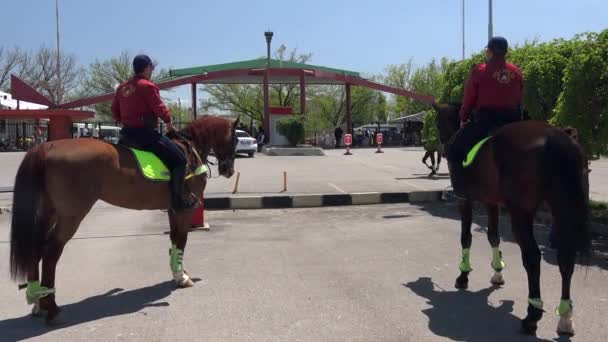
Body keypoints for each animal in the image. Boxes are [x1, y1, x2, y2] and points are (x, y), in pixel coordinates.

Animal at [10, 114, 240, 324]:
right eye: (235, 139)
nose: (228, 170)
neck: (189, 147)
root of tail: (46, 148)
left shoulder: (172, 210)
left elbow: (174, 240)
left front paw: (178, 272)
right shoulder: (183, 211)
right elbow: (181, 240)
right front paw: (181, 277)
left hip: (48, 212)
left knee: (36, 248)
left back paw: (37, 300)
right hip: (71, 216)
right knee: (51, 252)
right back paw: (51, 307)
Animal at [434, 103, 592, 336]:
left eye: (438, 123)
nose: (442, 148)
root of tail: (555, 138)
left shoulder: (465, 199)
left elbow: (466, 237)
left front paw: (463, 275)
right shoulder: (491, 201)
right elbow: (493, 235)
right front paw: (497, 271)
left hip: (521, 212)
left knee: (532, 258)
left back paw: (532, 315)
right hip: (562, 209)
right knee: (565, 259)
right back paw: (564, 317)